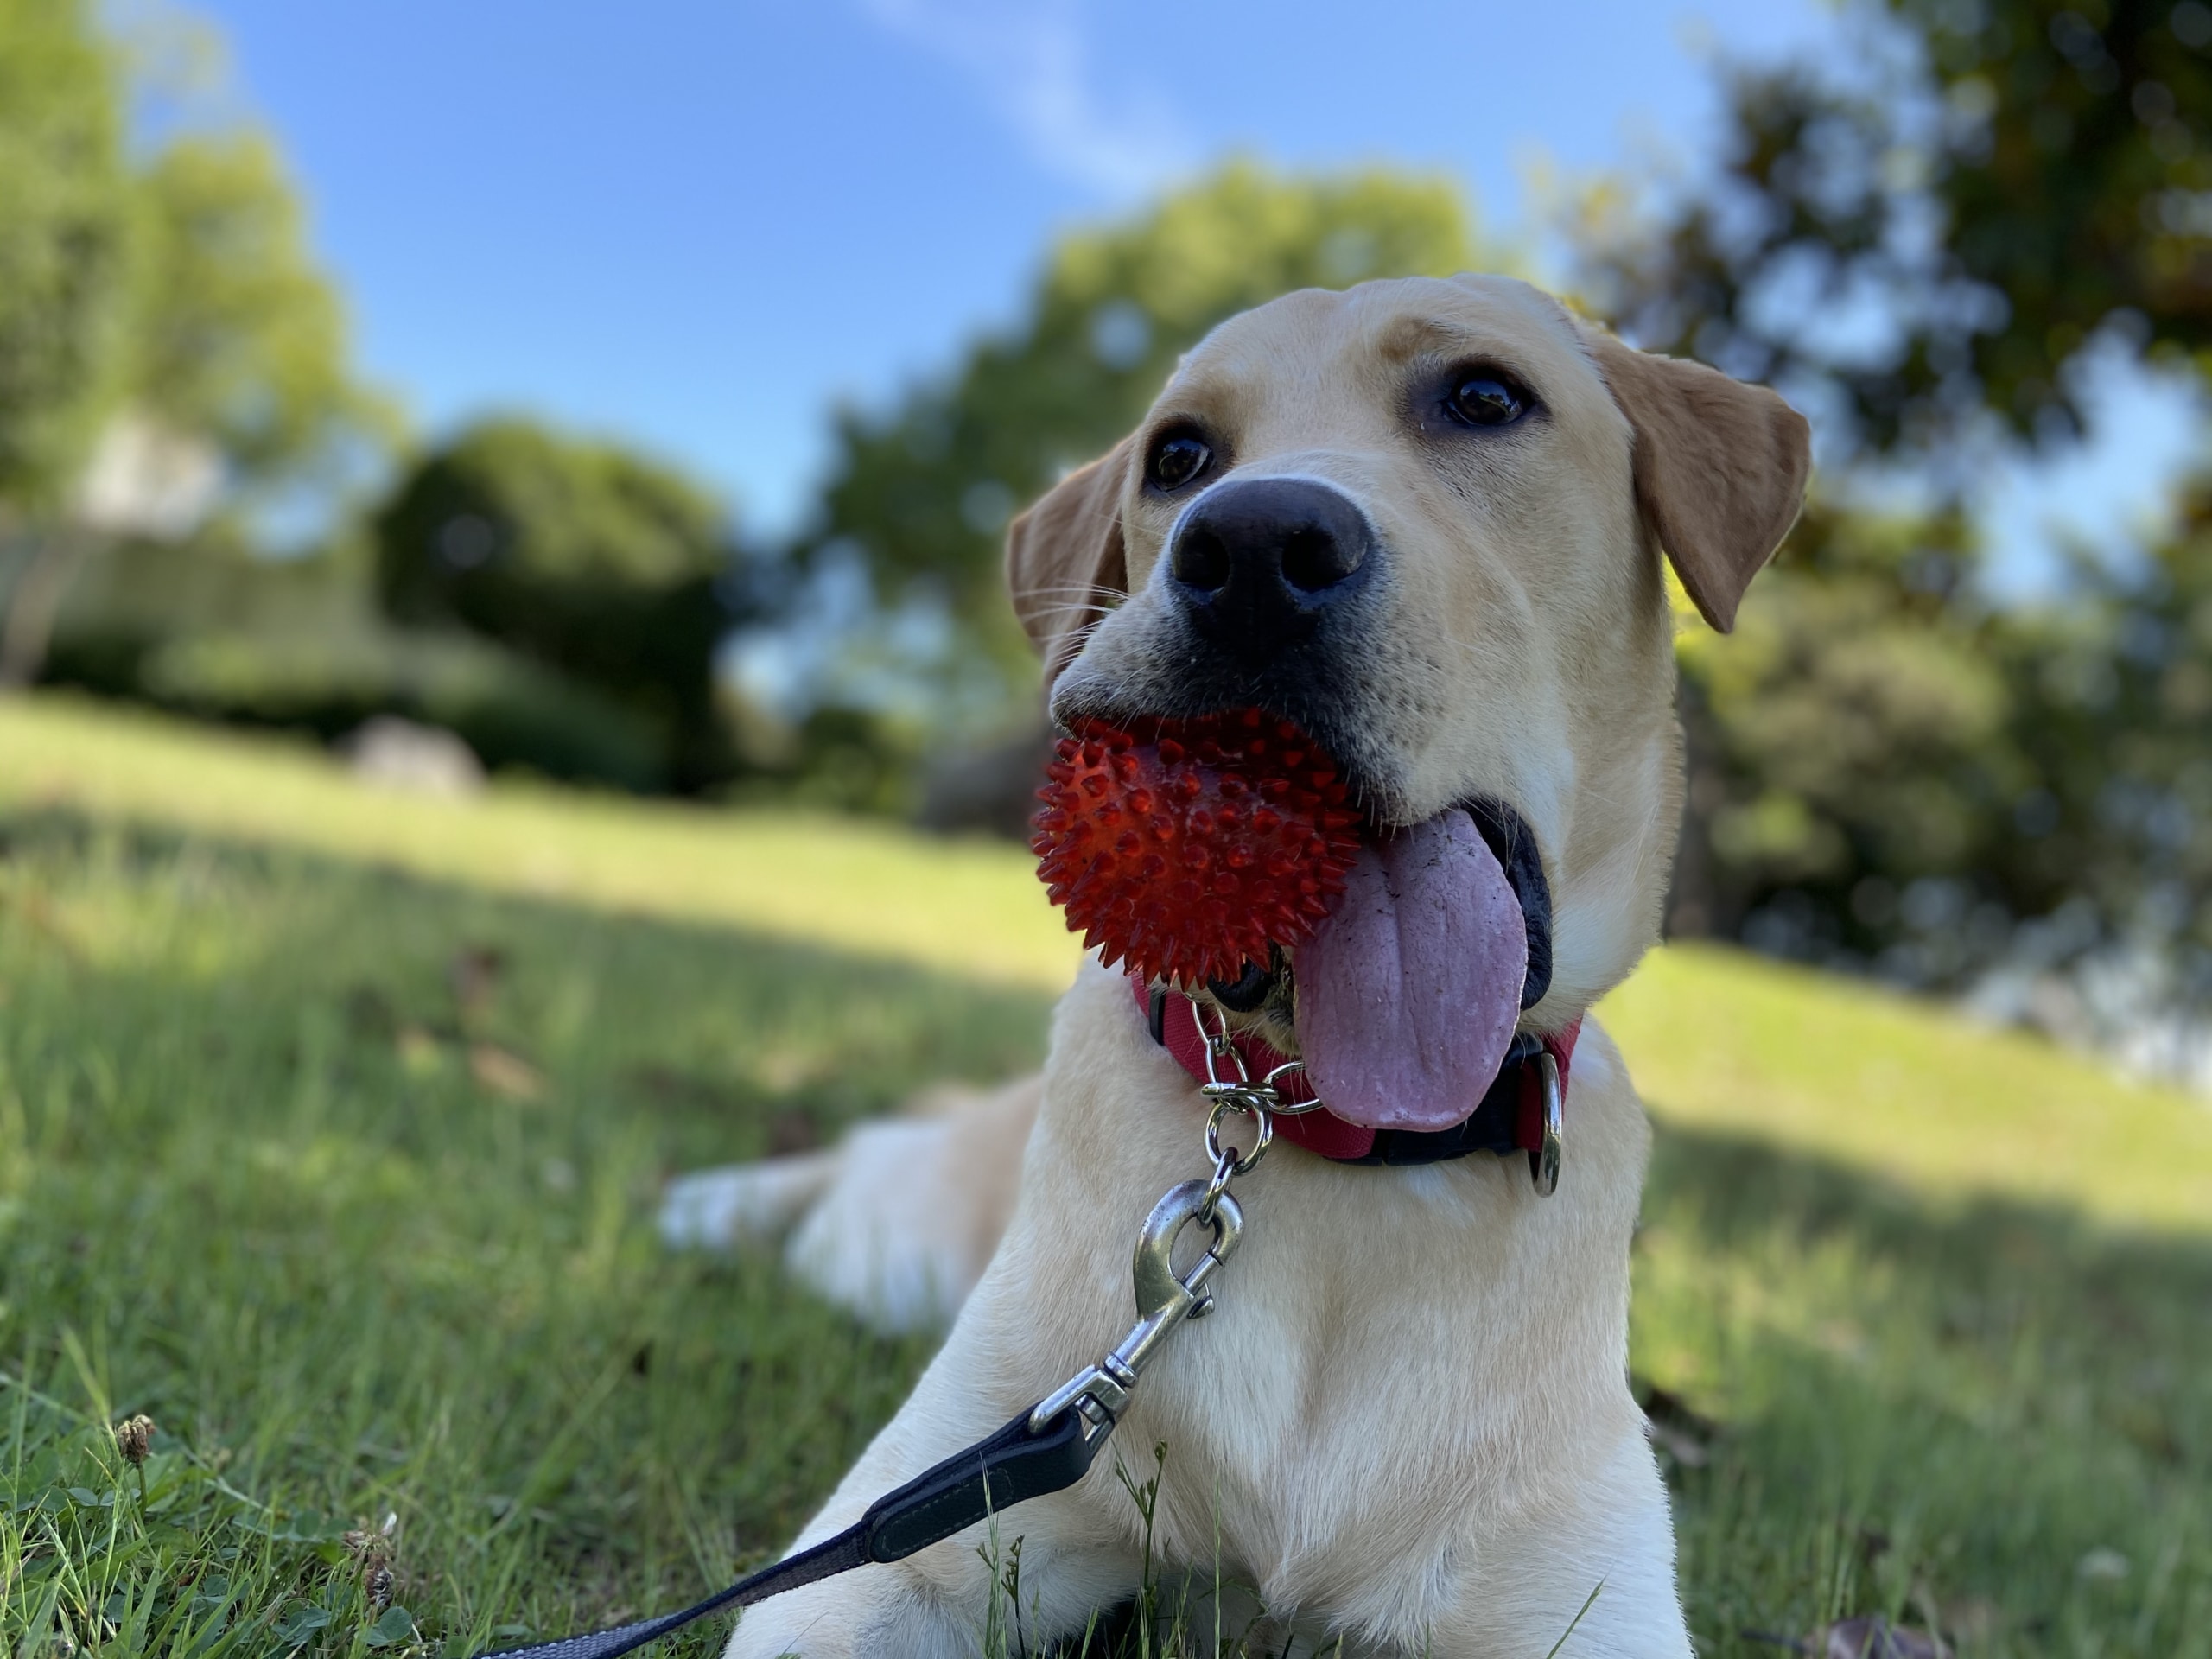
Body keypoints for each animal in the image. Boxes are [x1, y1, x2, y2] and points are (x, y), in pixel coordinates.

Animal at [677, 279, 1814, 1654]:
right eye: (1178, 456)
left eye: (1486, 397)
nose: (1254, 551)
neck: (1337, 1142)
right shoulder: (902, 1549)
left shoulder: (1584, 1609)